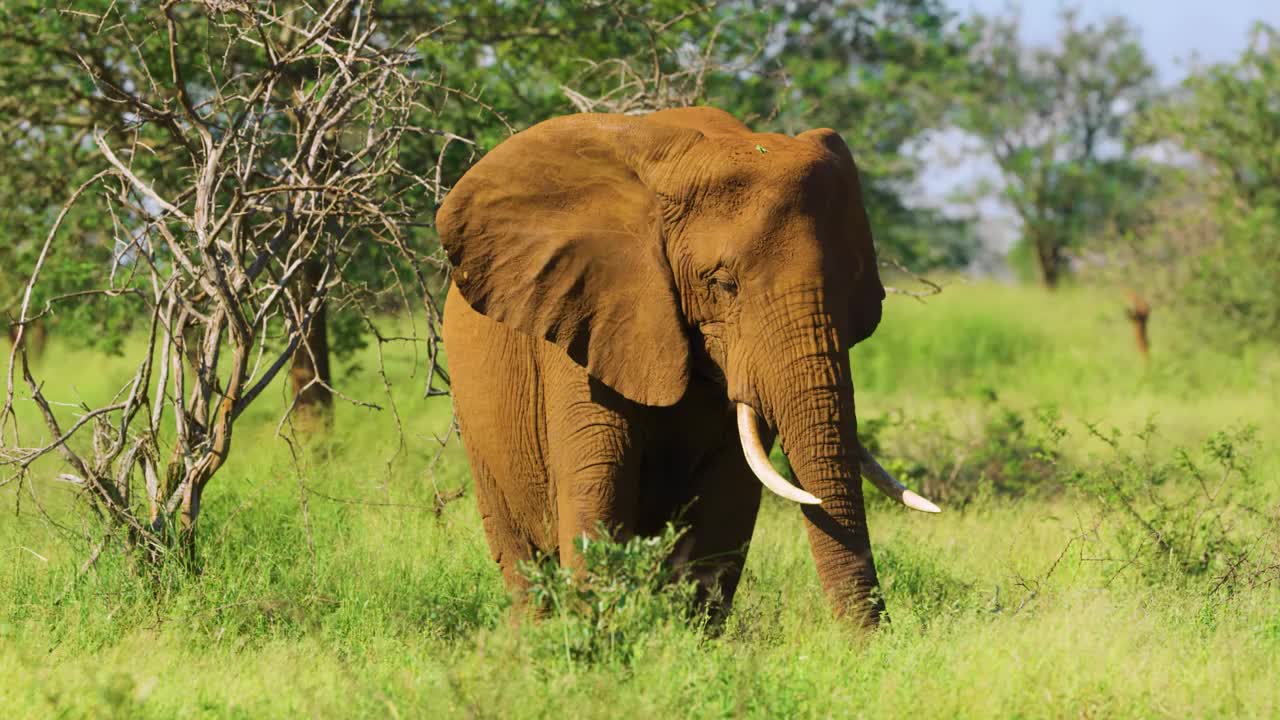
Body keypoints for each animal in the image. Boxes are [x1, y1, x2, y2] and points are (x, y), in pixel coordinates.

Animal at [440, 103, 942, 625]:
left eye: (852, 282)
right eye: (722, 285)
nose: (873, 638)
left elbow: (728, 496)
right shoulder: (584, 316)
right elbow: (597, 480)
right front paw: (600, 632)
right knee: (519, 555)